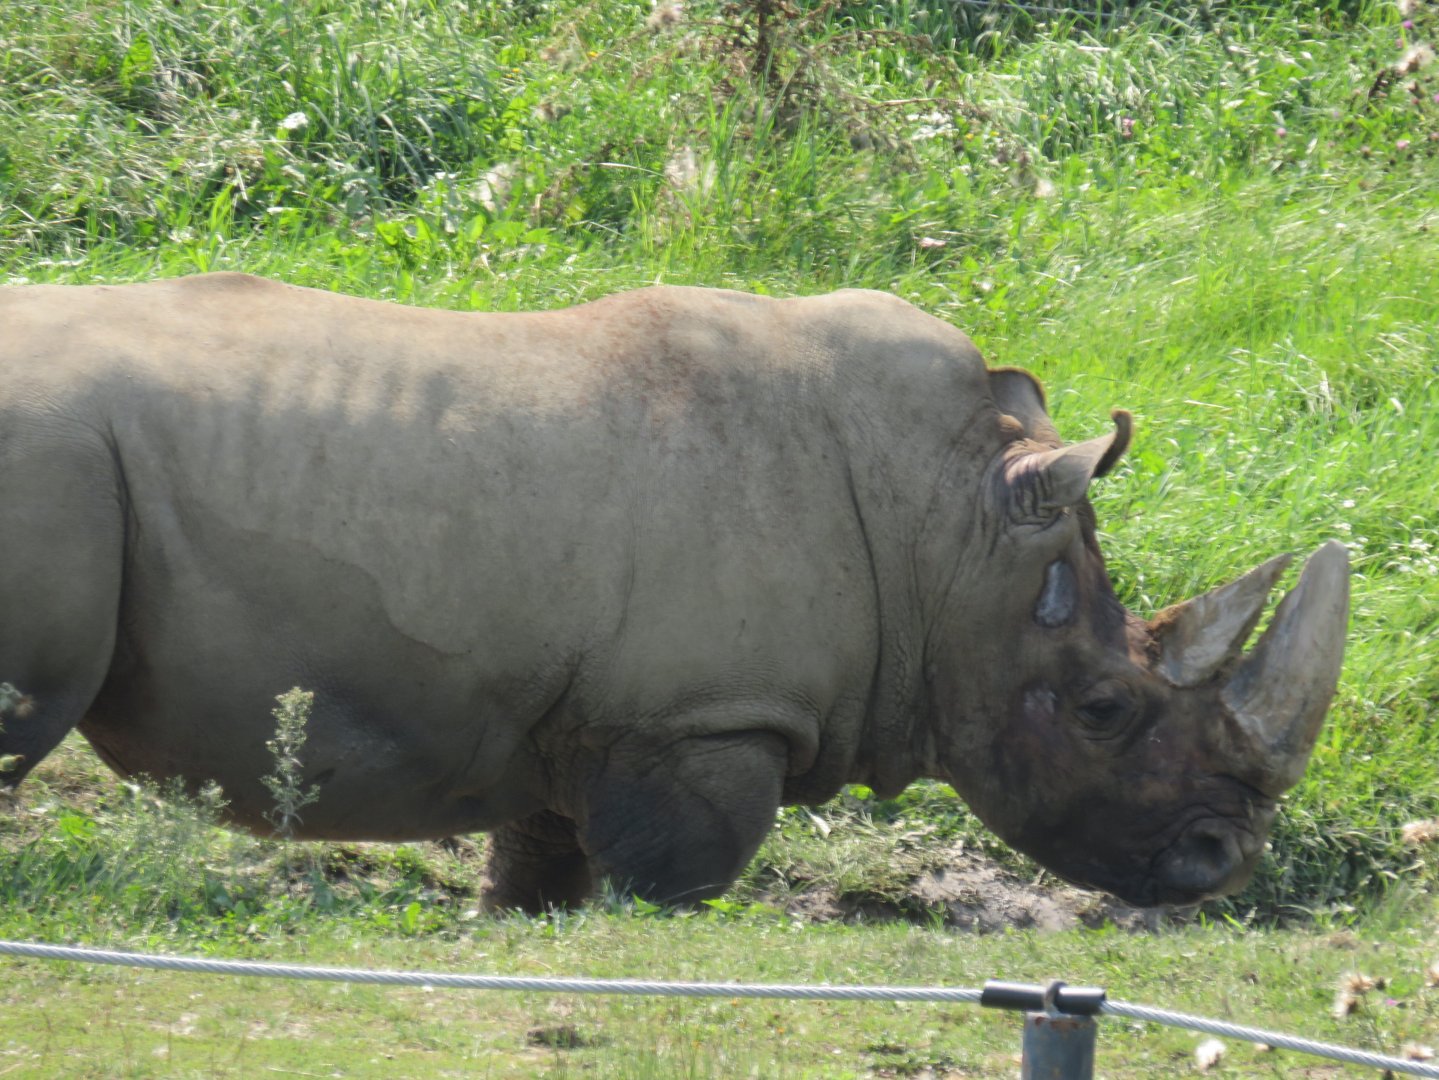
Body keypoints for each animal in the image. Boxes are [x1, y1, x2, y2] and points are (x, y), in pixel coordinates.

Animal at [0, 274, 1348, 911]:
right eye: (1102, 712)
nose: (1222, 857)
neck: (944, 532)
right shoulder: (700, 720)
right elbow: (676, 885)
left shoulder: (564, 720)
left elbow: (538, 878)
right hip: (50, 450)